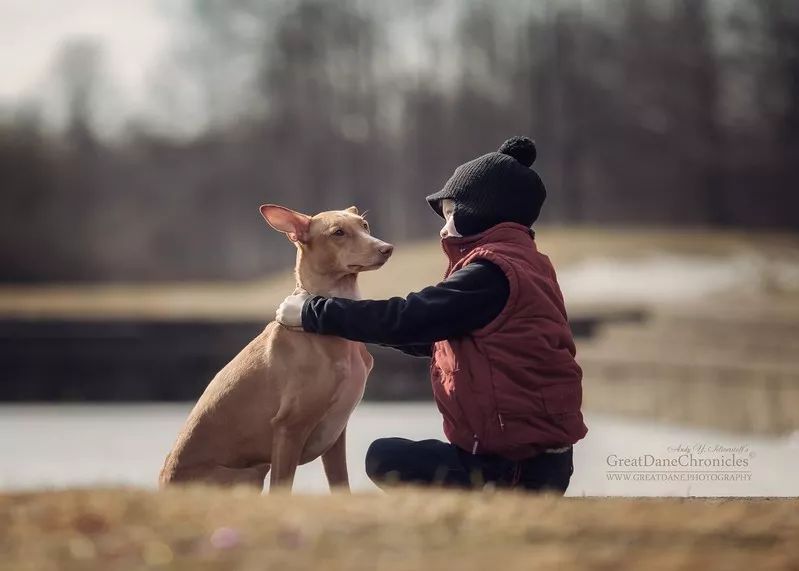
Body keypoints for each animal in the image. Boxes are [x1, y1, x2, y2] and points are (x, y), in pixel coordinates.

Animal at [159, 204, 394, 492]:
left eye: (364, 225)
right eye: (338, 232)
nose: (387, 248)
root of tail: (163, 484)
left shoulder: (335, 432)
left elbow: (341, 485)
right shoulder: (288, 429)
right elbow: (282, 489)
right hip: (251, 471)